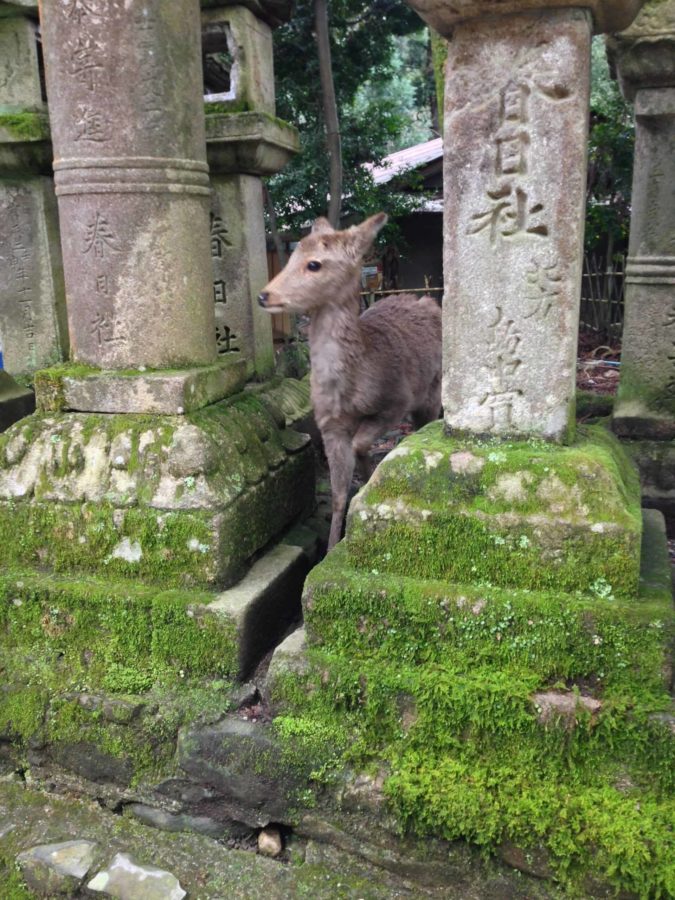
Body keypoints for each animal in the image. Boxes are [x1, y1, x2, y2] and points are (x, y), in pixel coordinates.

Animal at [258, 212, 442, 549]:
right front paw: (332, 546)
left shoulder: (396, 400)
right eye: (292, 256)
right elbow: (338, 493)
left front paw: (369, 484)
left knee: (425, 424)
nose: (264, 295)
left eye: (314, 264)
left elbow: (360, 444)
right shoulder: (329, 425)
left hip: (432, 389)